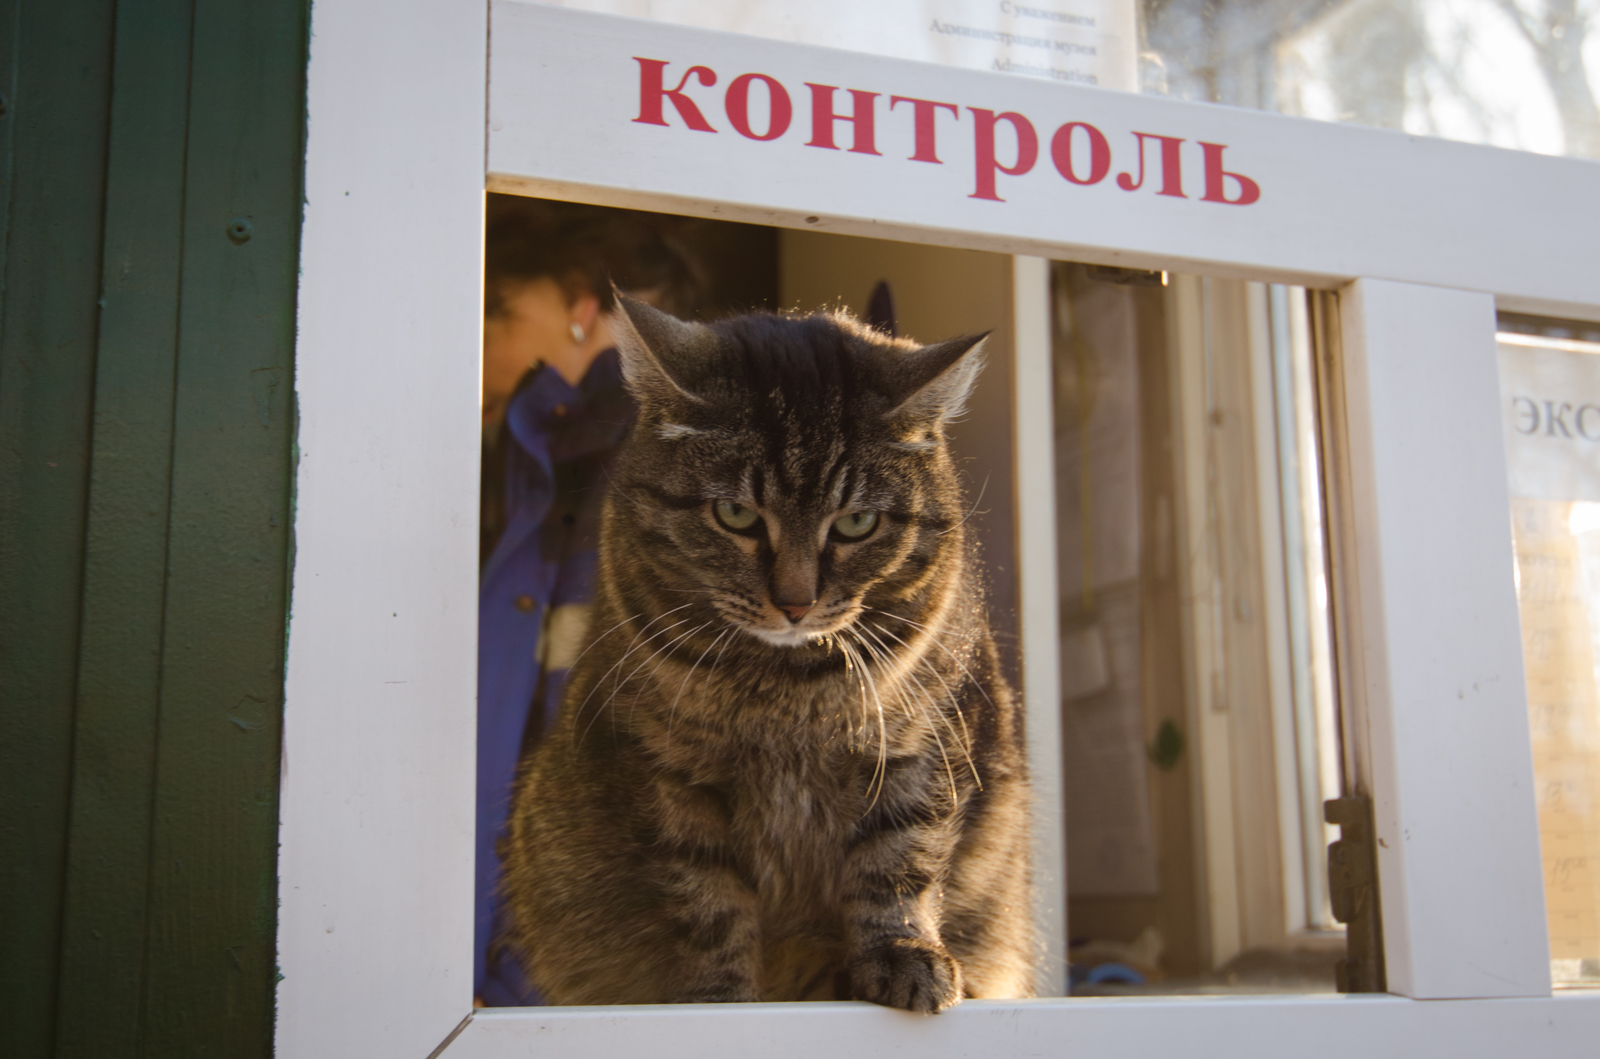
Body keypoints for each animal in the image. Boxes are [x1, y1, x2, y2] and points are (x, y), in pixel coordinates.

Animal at [502, 295, 1036, 1011]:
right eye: (735, 514)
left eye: (857, 523)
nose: (796, 603)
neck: (786, 686)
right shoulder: (665, 771)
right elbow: (705, 899)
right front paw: (719, 998)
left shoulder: (921, 742)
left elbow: (898, 863)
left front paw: (904, 955)